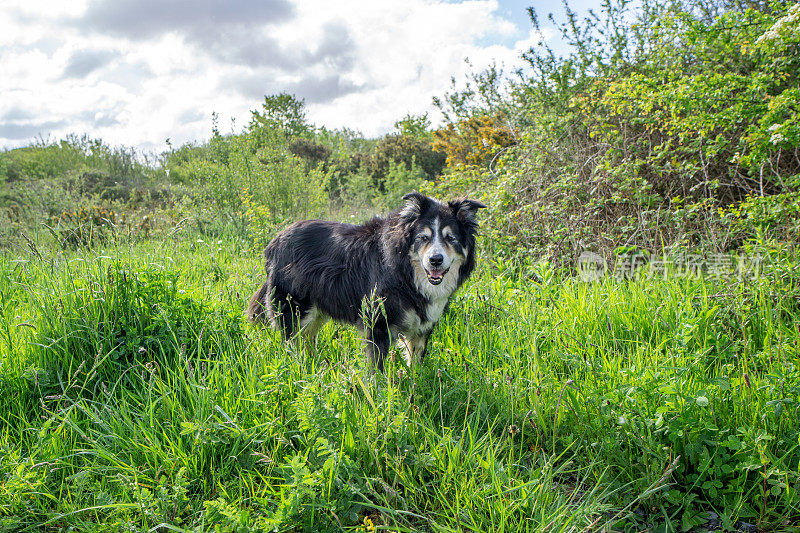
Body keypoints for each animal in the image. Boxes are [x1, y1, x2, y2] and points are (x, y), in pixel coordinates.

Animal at [247, 190, 484, 370]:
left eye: (450, 238)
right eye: (422, 238)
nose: (435, 260)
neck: (407, 274)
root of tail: (274, 243)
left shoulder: (423, 327)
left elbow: (415, 361)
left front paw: (415, 385)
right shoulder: (376, 322)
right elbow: (376, 368)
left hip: (317, 310)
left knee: (308, 339)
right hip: (293, 307)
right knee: (293, 343)